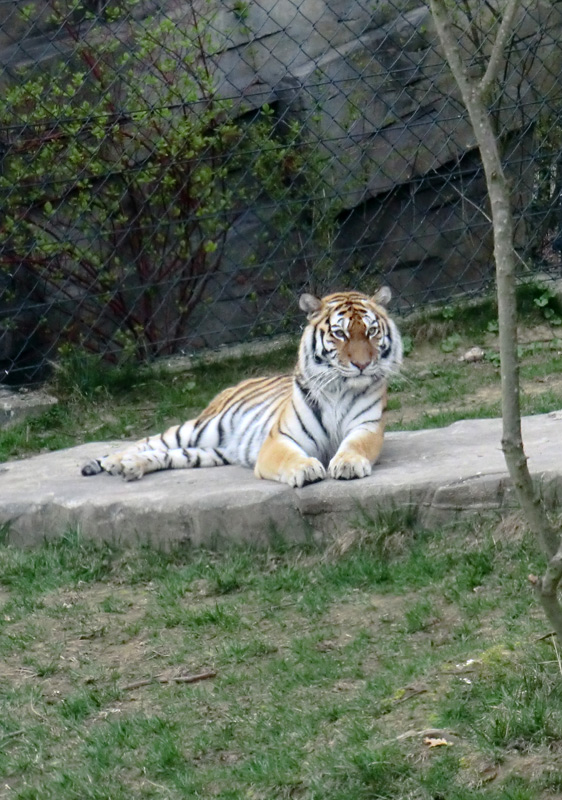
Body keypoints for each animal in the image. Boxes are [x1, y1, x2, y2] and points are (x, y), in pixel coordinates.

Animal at [81, 290, 400, 488]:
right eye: (340, 333)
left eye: (372, 331)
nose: (362, 364)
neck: (338, 389)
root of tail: (238, 382)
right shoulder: (279, 439)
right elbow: (290, 457)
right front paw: (306, 468)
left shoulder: (367, 427)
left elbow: (355, 445)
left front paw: (347, 464)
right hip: (200, 428)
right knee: (148, 441)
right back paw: (115, 461)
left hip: (207, 451)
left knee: (166, 454)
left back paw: (131, 467)